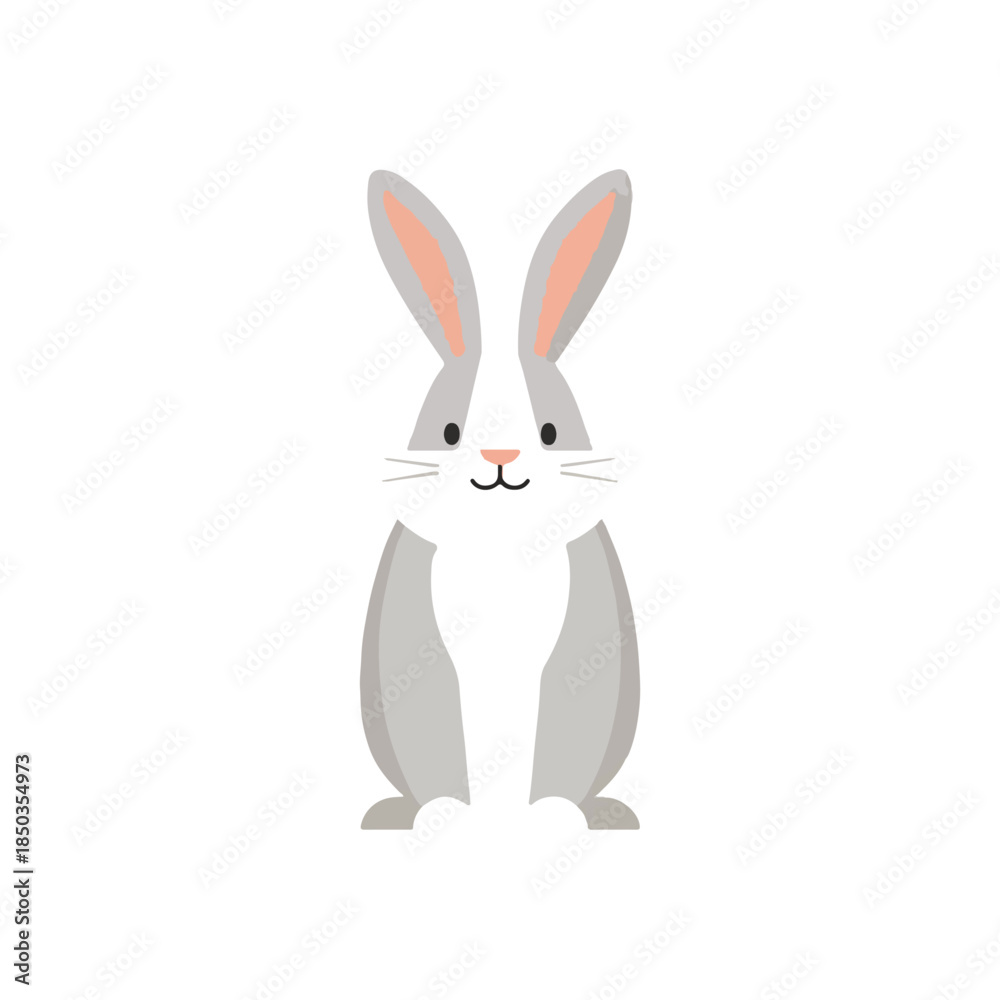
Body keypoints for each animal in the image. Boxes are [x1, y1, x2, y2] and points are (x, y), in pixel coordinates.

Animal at [359, 168, 640, 831]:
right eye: (449, 432)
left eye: (550, 432)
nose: (500, 456)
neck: (503, 546)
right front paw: (460, 813)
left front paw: (539, 814)